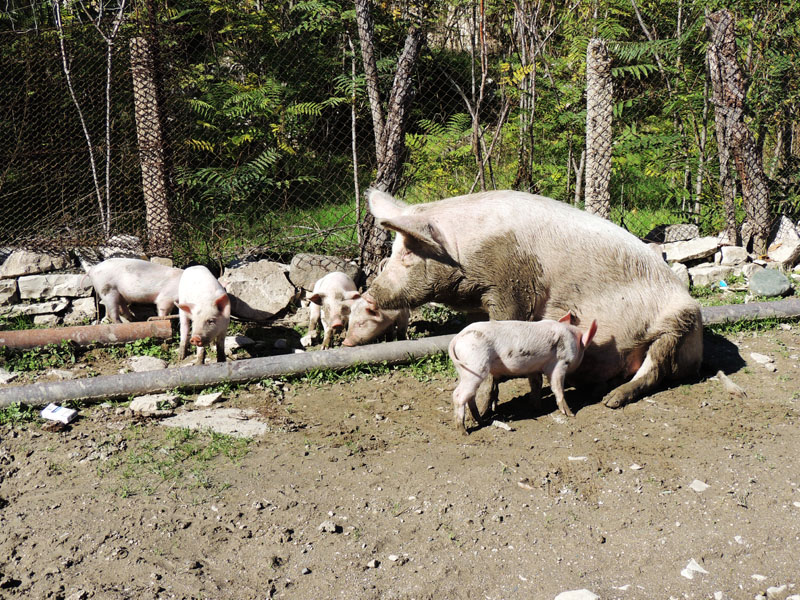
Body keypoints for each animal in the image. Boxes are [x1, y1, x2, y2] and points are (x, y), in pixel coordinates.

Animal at [362, 190, 700, 410]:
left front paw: (484, 411)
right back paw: (598, 388)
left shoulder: (513, 289)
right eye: (395, 249)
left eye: (408, 252)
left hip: (679, 323)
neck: (465, 254)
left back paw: (611, 401)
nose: (369, 295)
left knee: (655, 369)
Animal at [450, 312, 592, 434]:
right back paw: (464, 432)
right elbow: (557, 386)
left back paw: (481, 421)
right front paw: (571, 414)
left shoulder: (533, 367)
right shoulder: (560, 363)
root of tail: (456, 338)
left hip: (465, 370)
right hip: (475, 365)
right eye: (584, 349)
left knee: (470, 396)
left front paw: (536, 407)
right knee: (458, 395)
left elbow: (536, 383)